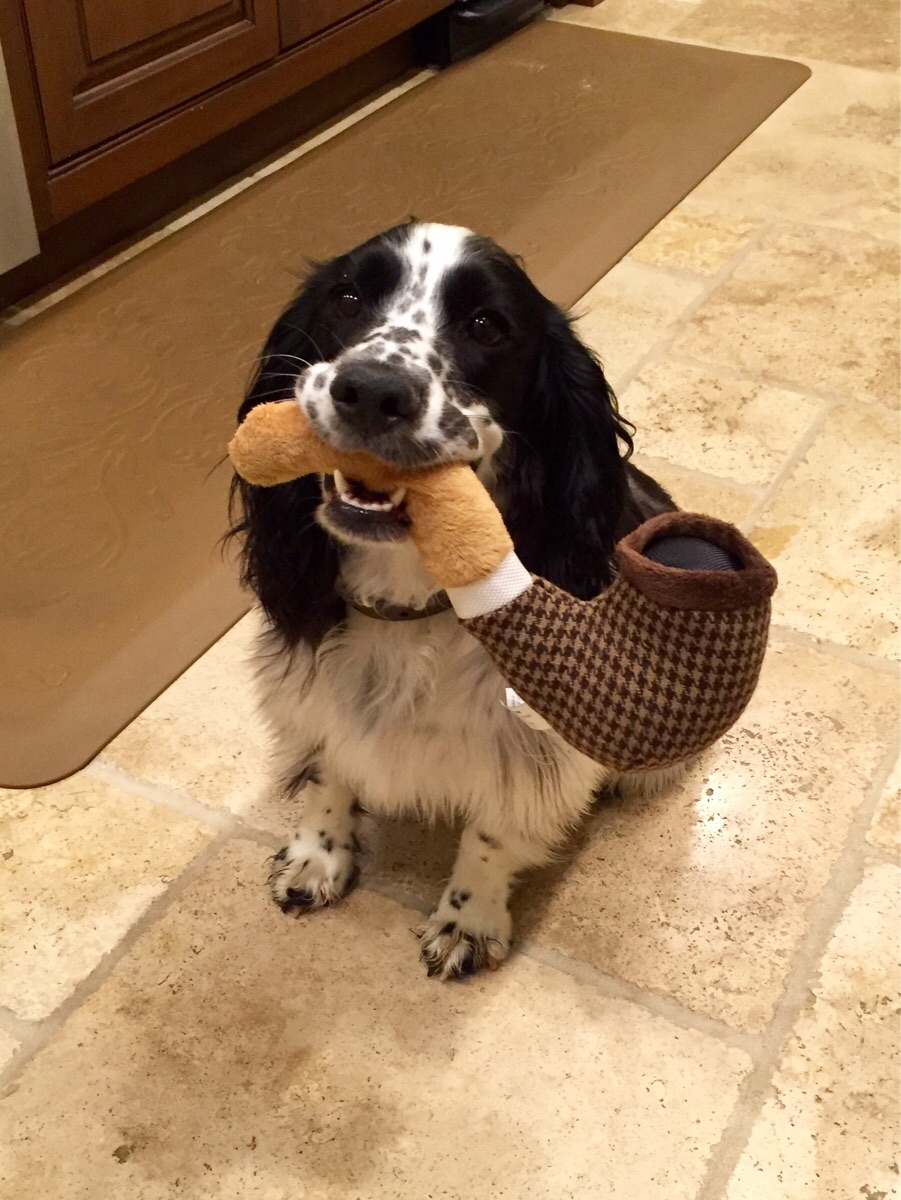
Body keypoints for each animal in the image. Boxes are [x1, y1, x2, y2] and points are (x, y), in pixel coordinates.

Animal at [232, 220, 676, 979]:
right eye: (347, 297)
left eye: (485, 325)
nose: (371, 389)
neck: (411, 602)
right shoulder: (316, 691)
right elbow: (328, 771)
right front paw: (317, 858)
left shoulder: (529, 746)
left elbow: (493, 834)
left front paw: (466, 922)